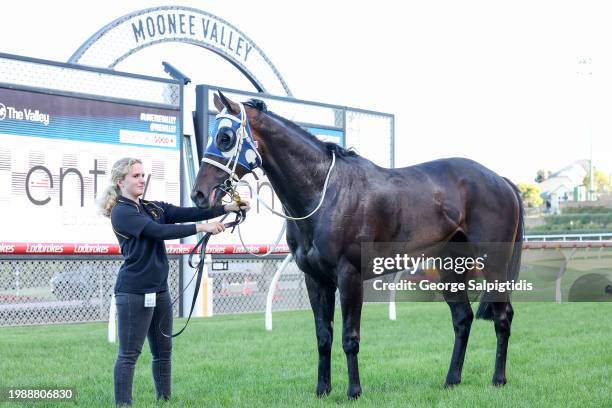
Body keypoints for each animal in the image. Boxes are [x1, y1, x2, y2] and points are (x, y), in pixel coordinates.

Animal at [192, 92, 524, 398]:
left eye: (225, 137)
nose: (199, 193)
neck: (324, 192)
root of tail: (501, 180)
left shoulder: (349, 276)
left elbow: (349, 337)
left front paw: (354, 391)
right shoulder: (316, 280)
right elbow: (323, 336)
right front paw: (322, 389)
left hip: (493, 264)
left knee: (502, 316)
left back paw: (498, 379)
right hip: (449, 266)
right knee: (462, 318)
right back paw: (451, 380)